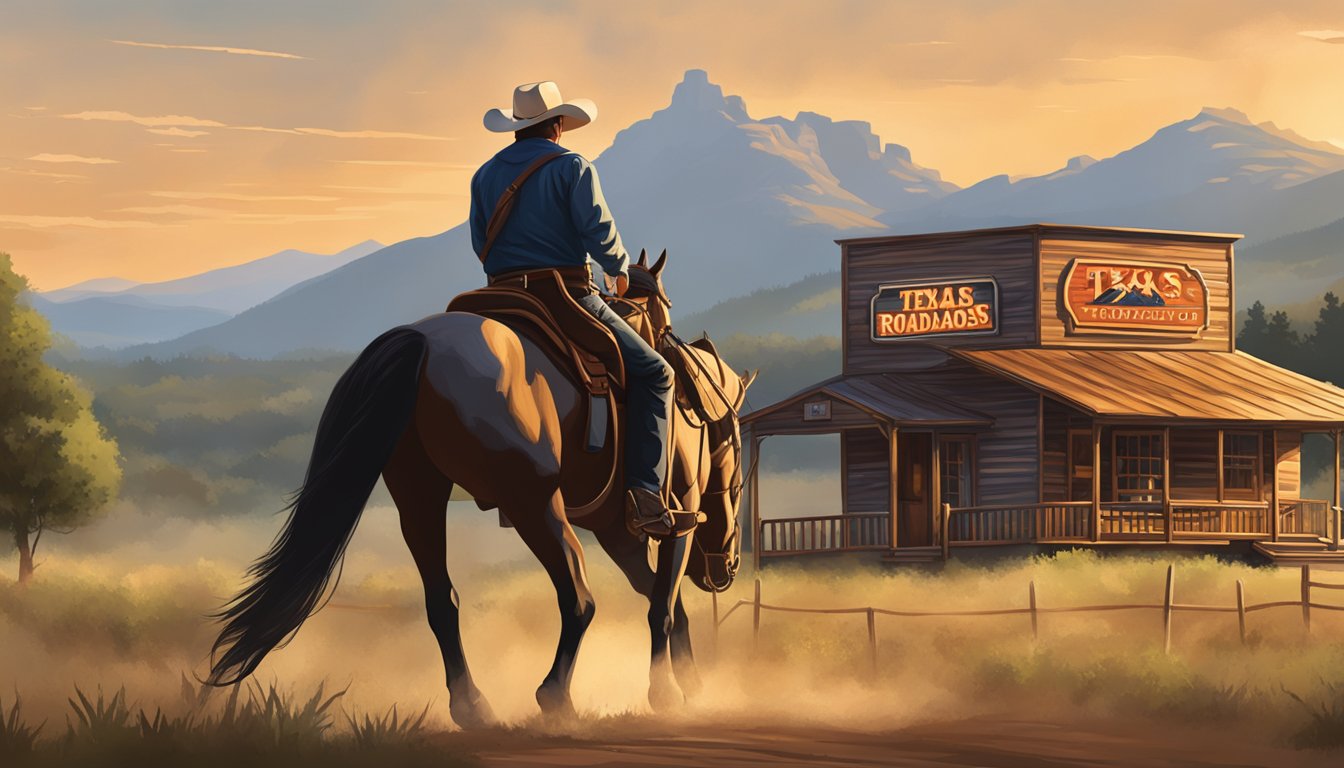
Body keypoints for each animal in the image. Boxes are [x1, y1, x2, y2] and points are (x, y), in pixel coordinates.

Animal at [204, 252, 752, 726]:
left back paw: (473, 706)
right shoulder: (678, 516)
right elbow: (662, 605)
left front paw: (690, 683)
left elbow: (663, 600)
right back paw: (554, 698)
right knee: (577, 597)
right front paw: (668, 693)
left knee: (442, 600)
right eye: (737, 456)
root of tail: (419, 343)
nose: (725, 568)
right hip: (533, 503)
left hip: (418, 494)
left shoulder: (618, 532)